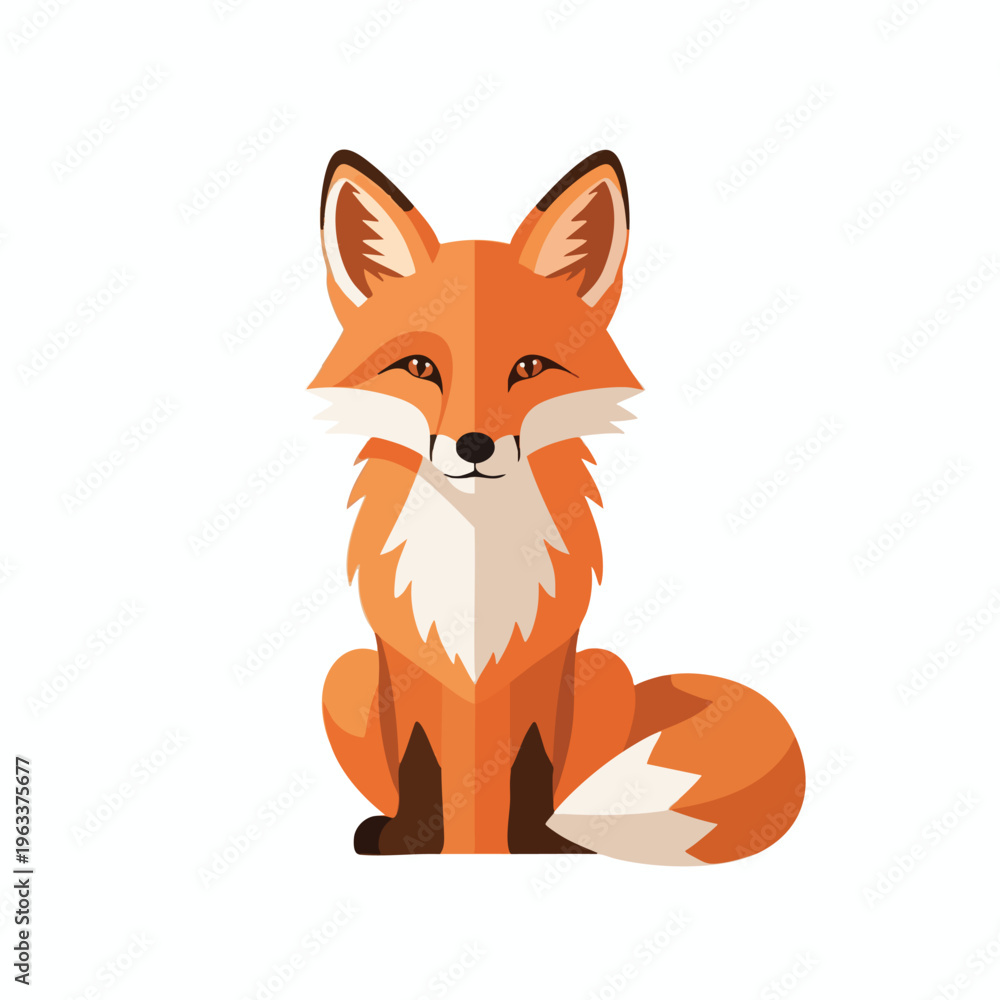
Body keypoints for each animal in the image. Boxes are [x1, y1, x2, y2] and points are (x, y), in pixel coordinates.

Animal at [313, 149, 804, 863]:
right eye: (419, 367)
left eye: (530, 367)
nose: (474, 445)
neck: (475, 562)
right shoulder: (407, 671)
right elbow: (419, 762)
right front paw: (412, 841)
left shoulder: (544, 673)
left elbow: (533, 766)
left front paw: (537, 841)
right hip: (343, 676)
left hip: (605, 672)